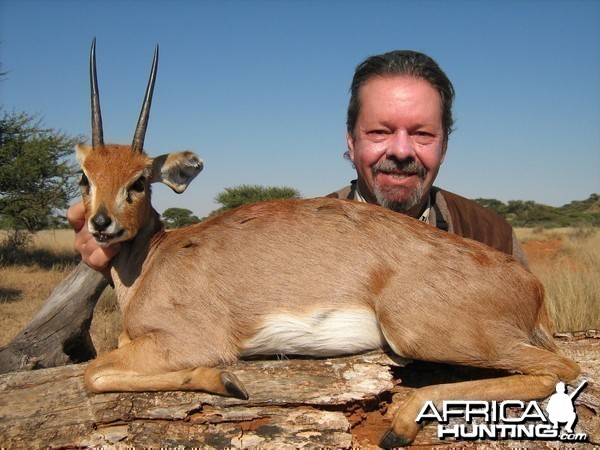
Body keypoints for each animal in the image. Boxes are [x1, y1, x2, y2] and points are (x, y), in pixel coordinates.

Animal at [79, 40, 580, 448]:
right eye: (85, 178)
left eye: (139, 180)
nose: (101, 224)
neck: (154, 260)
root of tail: (531, 285)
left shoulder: (191, 342)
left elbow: (91, 373)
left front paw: (226, 382)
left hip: (422, 334)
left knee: (564, 371)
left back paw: (401, 422)